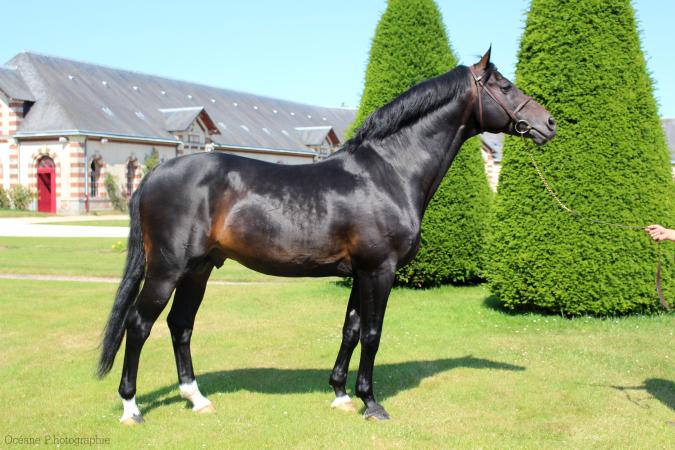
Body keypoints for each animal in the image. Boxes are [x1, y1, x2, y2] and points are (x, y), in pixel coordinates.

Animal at [97, 48, 556, 424]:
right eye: (503, 85)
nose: (548, 123)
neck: (388, 172)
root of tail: (155, 174)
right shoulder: (379, 270)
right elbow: (372, 333)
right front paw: (371, 403)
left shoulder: (360, 272)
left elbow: (350, 329)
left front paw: (340, 394)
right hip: (167, 270)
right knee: (139, 324)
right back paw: (131, 407)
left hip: (199, 269)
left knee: (180, 325)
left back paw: (196, 398)